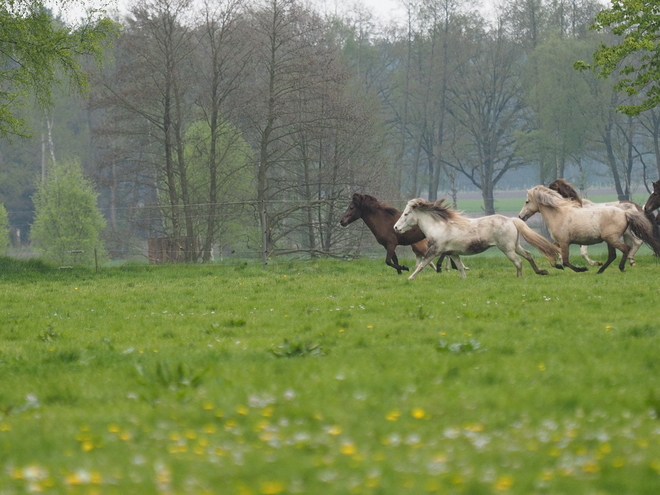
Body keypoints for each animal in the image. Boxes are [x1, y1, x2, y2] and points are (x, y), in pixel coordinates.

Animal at [392, 199, 556, 282]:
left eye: (406, 214)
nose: (395, 228)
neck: (438, 226)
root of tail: (511, 220)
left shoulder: (434, 251)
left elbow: (421, 265)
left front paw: (410, 278)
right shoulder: (453, 253)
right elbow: (460, 267)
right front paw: (464, 280)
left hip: (507, 249)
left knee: (518, 262)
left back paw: (519, 277)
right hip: (515, 246)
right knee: (528, 255)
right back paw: (541, 272)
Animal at [520, 185, 660, 274]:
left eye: (527, 201)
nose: (521, 216)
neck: (559, 215)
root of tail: (625, 212)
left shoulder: (564, 242)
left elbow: (566, 261)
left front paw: (582, 269)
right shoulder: (559, 242)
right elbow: (553, 252)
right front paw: (556, 265)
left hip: (612, 239)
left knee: (626, 249)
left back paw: (620, 267)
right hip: (610, 240)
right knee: (613, 255)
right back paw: (600, 270)